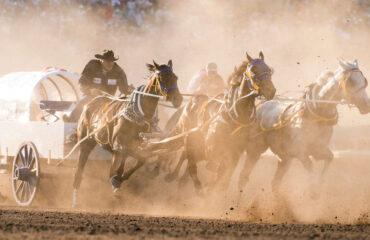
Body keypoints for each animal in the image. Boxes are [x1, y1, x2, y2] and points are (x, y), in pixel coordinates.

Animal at [72, 59, 182, 206]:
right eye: (162, 78)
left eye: (175, 77)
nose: (178, 99)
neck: (141, 116)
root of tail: (90, 103)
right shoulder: (120, 143)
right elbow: (123, 160)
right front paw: (117, 179)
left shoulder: (137, 146)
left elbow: (141, 160)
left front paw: (120, 179)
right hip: (85, 143)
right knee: (79, 171)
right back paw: (76, 200)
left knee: (110, 169)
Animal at [238, 58, 368, 191]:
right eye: (350, 81)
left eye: (364, 80)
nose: (366, 105)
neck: (316, 115)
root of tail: (261, 105)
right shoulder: (301, 152)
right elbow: (310, 169)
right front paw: (314, 187)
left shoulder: (319, 149)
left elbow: (330, 158)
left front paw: (320, 183)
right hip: (255, 150)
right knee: (243, 176)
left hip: (286, 158)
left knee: (275, 183)